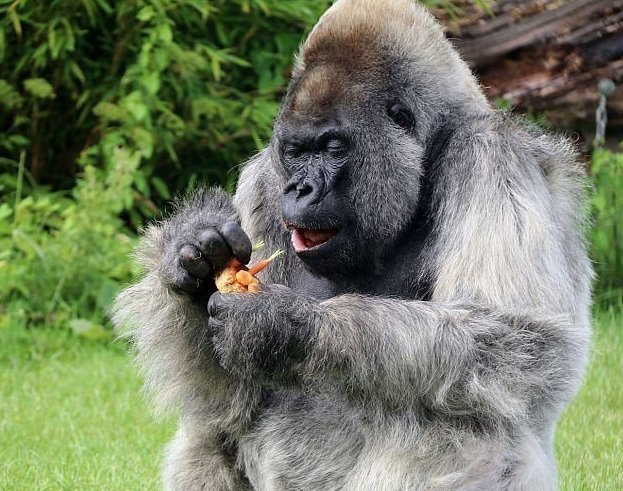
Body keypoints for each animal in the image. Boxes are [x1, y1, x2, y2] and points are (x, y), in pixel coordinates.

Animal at [113, 1, 596, 490]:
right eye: (295, 151)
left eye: (332, 147)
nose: (300, 189)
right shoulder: (263, 181)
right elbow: (227, 402)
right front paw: (193, 256)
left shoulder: (491, 154)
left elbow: (520, 340)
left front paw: (287, 324)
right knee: (208, 434)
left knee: (468, 421)